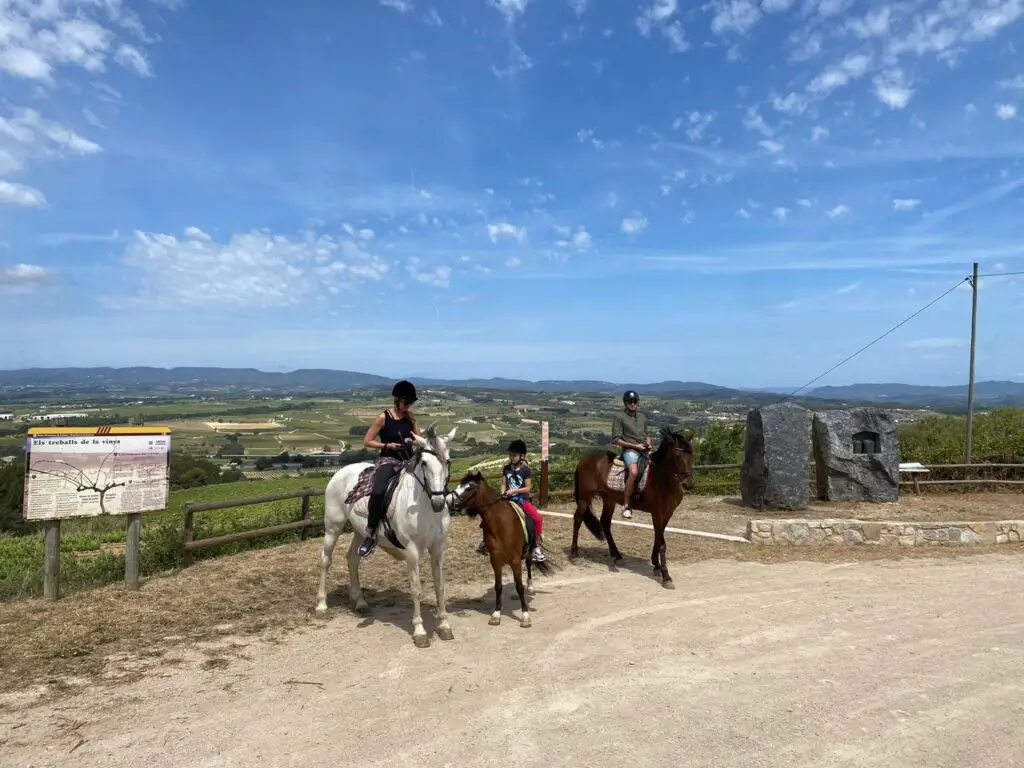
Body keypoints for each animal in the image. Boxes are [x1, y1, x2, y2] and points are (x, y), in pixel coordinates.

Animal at [311, 428, 456, 651]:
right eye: (424, 463)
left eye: (447, 461)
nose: (439, 501)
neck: (423, 506)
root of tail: (341, 471)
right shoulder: (412, 551)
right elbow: (416, 590)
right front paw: (420, 631)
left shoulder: (438, 548)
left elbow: (440, 587)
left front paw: (444, 625)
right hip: (333, 527)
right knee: (325, 560)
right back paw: (321, 605)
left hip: (360, 531)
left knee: (353, 559)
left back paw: (360, 602)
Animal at [452, 473, 557, 626]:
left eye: (469, 487)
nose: (450, 502)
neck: (500, 524)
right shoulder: (495, 560)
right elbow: (498, 586)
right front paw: (496, 613)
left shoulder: (515, 560)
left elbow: (520, 586)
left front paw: (525, 615)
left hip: (528, 552)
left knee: (529, 565)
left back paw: (531, 587)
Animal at [569, 428, 696, 589]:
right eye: (676, 455)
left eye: (691, 454)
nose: (688, 484)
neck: (662, 478)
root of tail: (584, 459)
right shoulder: (657, 513)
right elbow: (662, 543)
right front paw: (666, 577)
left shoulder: (668, 513)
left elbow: (657, 538)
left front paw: (656, 565)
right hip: (584, 497)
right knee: (578, 519)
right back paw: (574, 554)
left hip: (608, 499)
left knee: (605, 522)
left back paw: (616, 555)